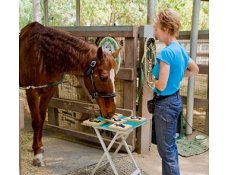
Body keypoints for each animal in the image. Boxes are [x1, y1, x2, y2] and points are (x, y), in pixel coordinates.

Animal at [19, 21, 121, 166]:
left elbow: (42, 118)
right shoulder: (32, 91)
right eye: (103, 77)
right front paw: (37, 154)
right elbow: (36, 121)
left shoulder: (48, 91)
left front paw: (40, 148)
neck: (43, 55)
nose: (111, 111)